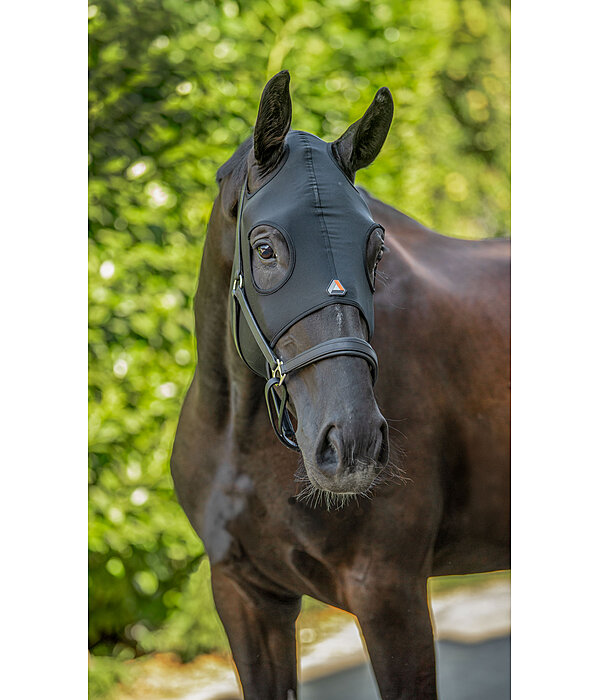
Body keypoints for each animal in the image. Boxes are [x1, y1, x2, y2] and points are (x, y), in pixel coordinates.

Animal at [171, 70, 510, 700]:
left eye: (376, 250)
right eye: (264, 247)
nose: (352, 443)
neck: (241, 442)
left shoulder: (389, 593)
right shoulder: (247, 597)